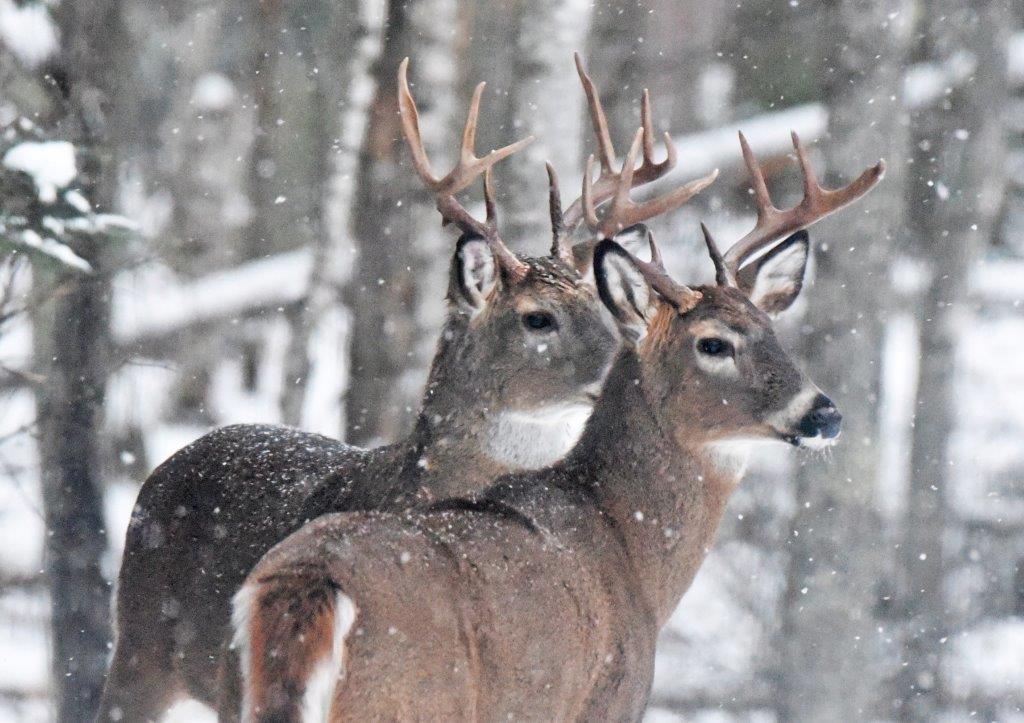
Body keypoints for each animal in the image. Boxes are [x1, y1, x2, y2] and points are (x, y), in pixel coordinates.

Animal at [225, 129, 884, 722]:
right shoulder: (609, 700)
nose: (824, 413)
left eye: (775, 333)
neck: (628, 547)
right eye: (713, 343)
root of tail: (306, 581)